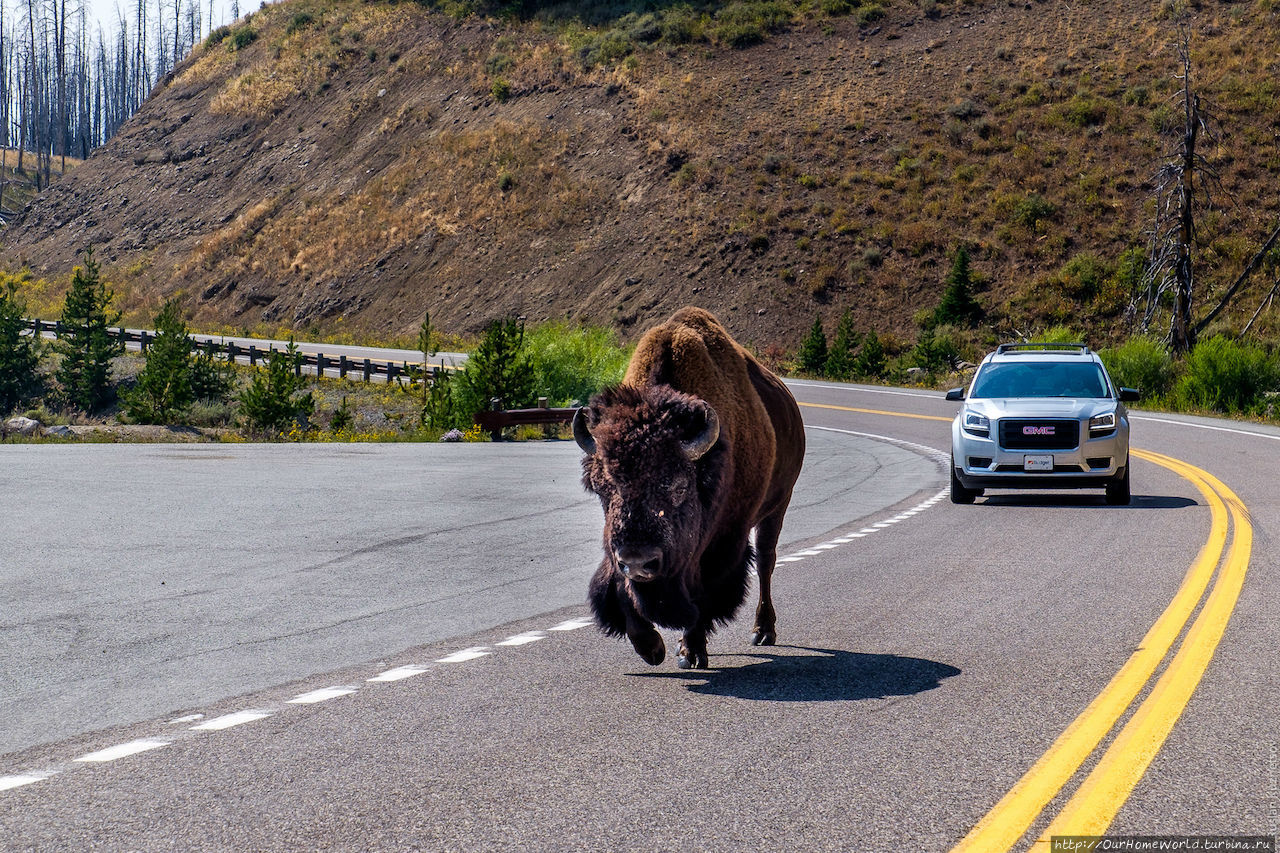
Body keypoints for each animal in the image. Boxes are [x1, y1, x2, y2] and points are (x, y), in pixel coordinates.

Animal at [576, 308, 803, 666]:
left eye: (678, 486)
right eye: (602, 488)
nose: (638, 561)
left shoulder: (721, 546)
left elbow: (703, 597)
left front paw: (690, 652)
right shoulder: (617, 555)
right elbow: (622, 591)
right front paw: (651, 648)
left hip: (778, 506)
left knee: (766, 561)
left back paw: (763, 631)